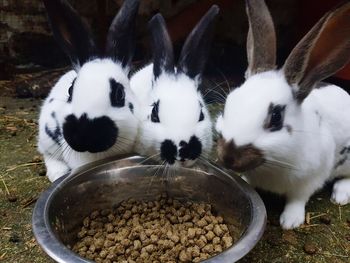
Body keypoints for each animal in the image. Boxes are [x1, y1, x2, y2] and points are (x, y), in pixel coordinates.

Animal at [38, 0, 141, 184]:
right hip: (47, 138)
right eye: (71, 90)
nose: (84, 134)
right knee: (47, 154)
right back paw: (58, 173)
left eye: (119, 94)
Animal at [215, 0, 350, 230]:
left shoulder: (310, 179)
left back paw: (340, 195)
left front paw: (290, 221)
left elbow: (297, 199)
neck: (272, 165)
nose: (227, 157)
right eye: (228, 105)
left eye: (276, 117)